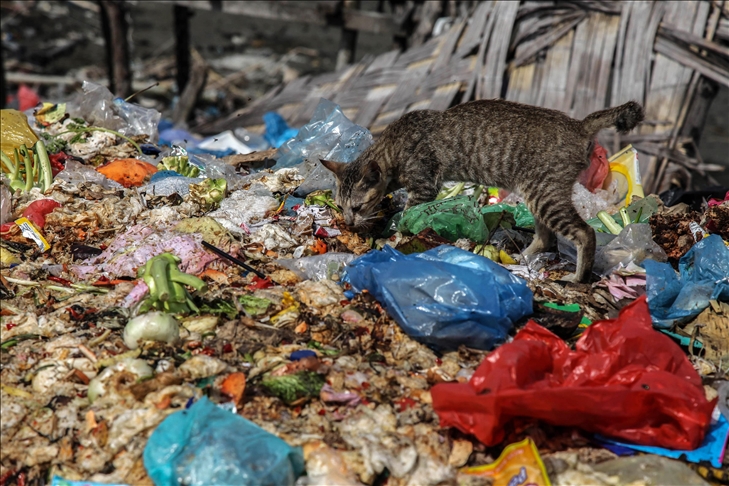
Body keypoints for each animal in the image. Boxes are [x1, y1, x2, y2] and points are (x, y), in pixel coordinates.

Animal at [320, 98, 644, 282]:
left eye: (358, 207)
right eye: (341, 206)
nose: (348, 221)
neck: (393, 149)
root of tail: (578, 124)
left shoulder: (424, 187)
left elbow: (407, 215)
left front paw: (394, 236)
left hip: (545, 195)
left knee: (584, 233)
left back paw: (578, 277)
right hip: (538, 194)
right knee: (546, 238)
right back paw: (518, 259)